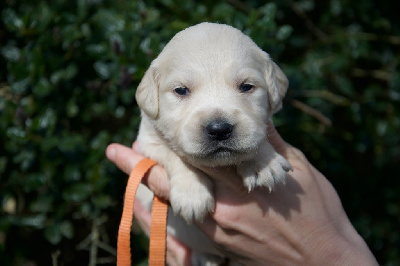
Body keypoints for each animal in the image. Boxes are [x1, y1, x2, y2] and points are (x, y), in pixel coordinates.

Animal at [134, 22, 290, 264]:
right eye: (181, 90)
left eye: (247, 86)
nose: (219, 129)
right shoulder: (147, 140)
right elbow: (175, 154)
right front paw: (192, 195)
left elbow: (259, 134)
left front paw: (263, 163)